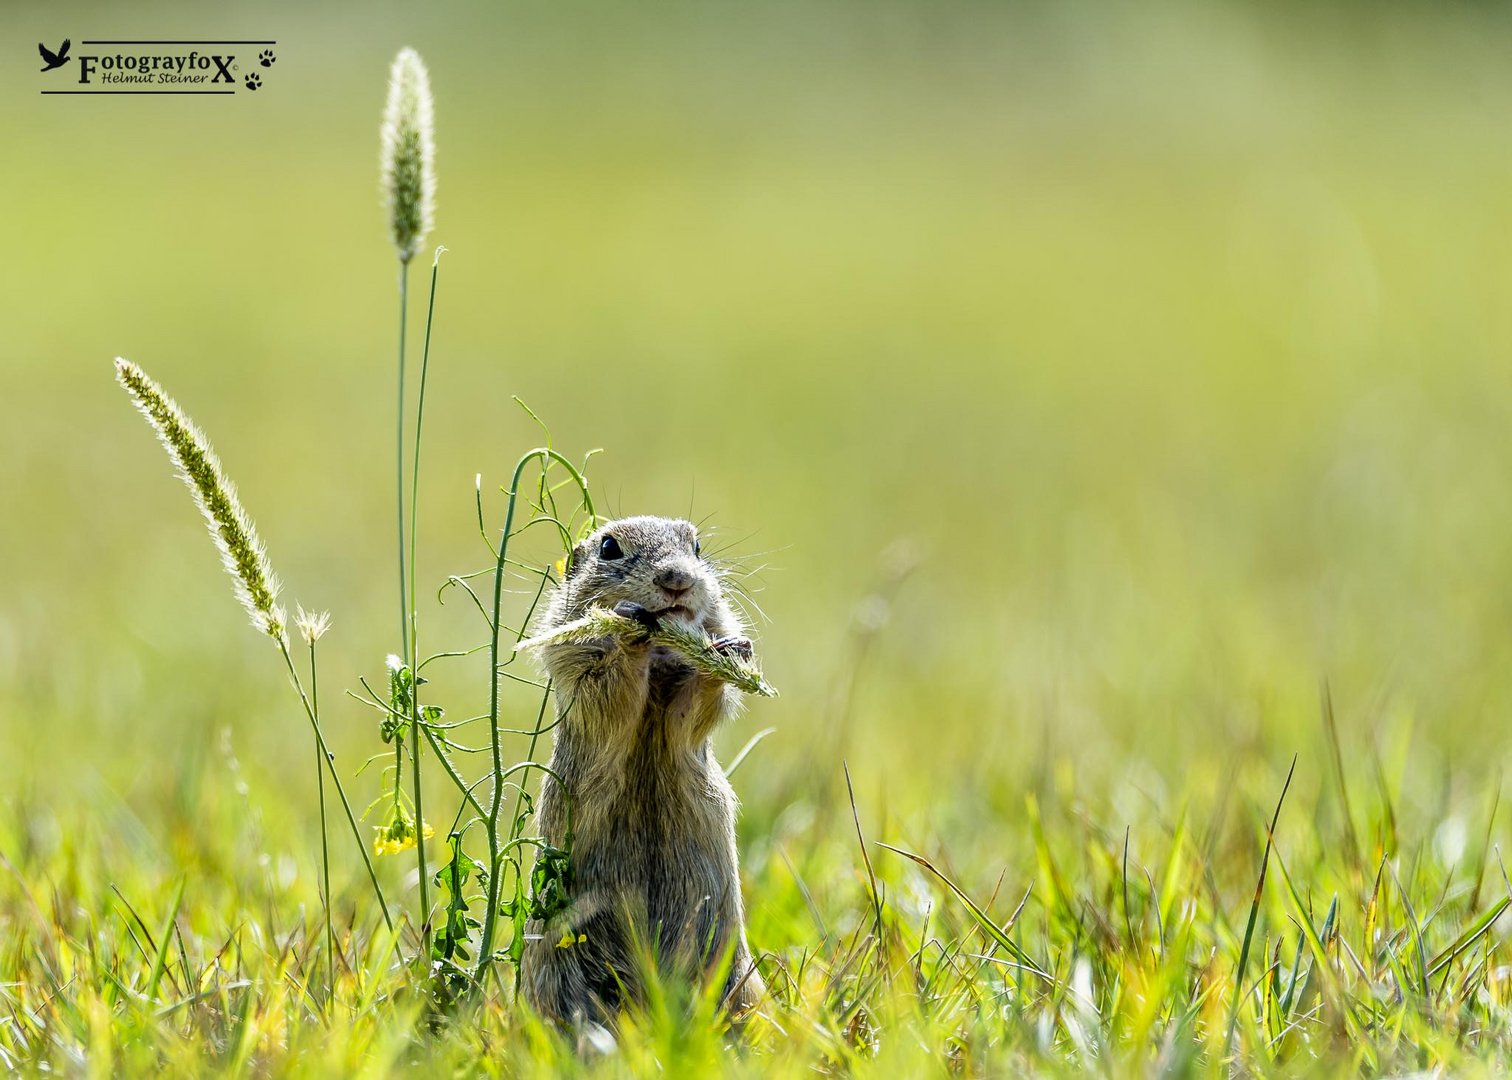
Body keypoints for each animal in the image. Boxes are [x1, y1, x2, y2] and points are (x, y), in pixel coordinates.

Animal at [526, 514, 774, 1028]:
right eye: (609, 547)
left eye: (696, 547)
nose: (676, 579)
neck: (659, 665)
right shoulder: (575, 660)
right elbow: (609, 687)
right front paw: (629, 625)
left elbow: (695, 708)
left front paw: (726, 651)